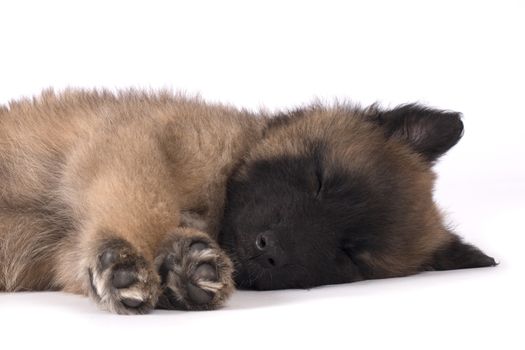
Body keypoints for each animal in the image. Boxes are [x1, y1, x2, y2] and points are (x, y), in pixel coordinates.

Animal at [0, 89, 494, 314]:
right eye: (319, 179)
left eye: (350, 254)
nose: (269, 249)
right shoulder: (131, 145)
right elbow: (144, 202)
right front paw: (134, 261)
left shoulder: (66, 249)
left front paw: (184, 265)